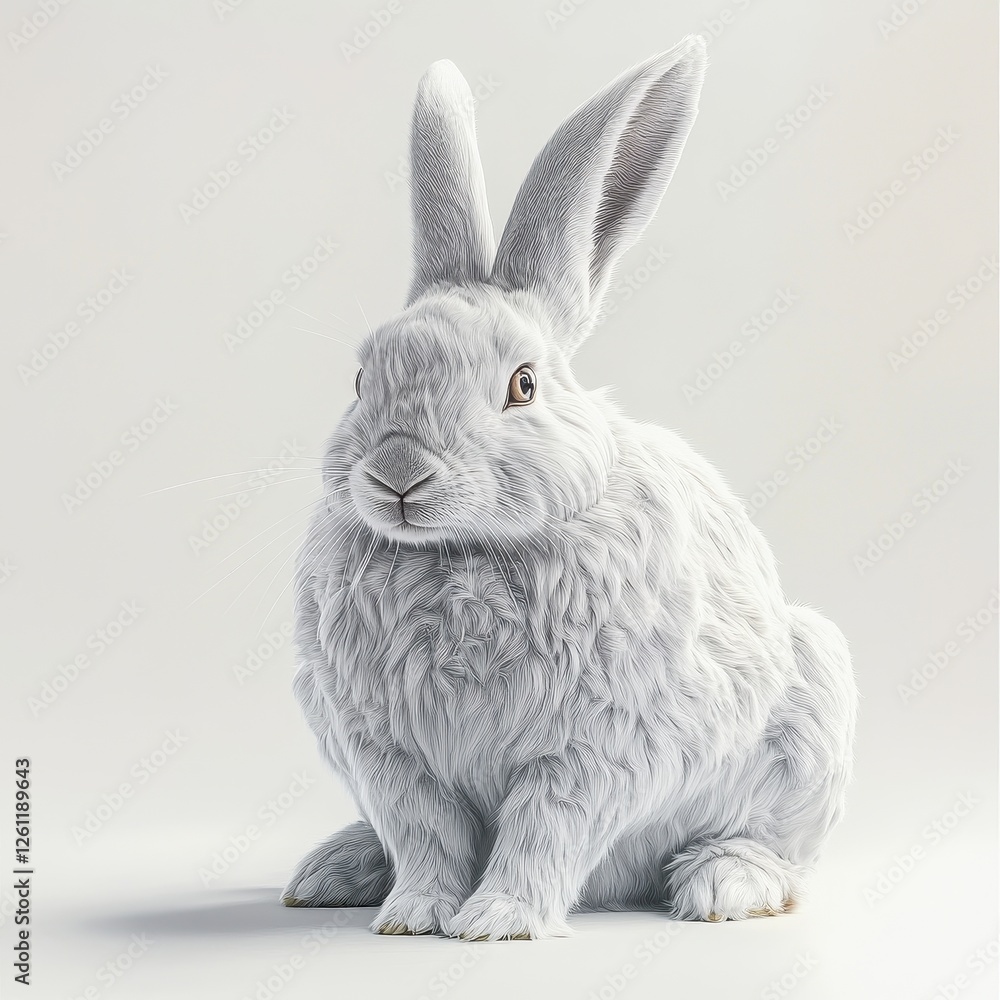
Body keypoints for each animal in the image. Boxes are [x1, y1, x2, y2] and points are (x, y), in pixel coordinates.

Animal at [281, 34, 858, 940]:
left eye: (523, 385)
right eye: (361, 378)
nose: (398, 471)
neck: (463, 551)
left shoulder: (599, 743)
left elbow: (544, 826)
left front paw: (499, 921)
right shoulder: (386, 752)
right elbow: (426, 832)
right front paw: (415, 915)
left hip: (812, 712)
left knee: (776, 849)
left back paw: (724, 885)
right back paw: (338, 870)